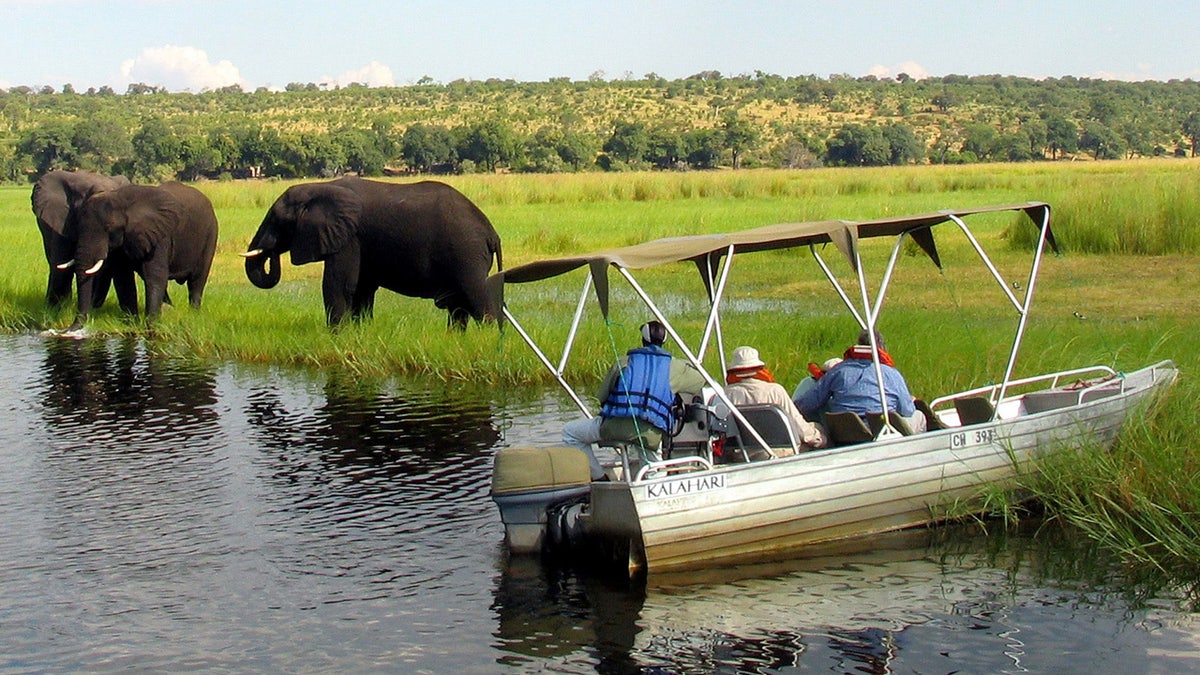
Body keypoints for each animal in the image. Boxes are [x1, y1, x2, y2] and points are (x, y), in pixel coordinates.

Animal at [65, 180, 220, 329]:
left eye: (109, 228)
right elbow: (123, 276)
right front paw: (132, 323)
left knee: (197, 280)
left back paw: (193, 313)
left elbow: (155, 274)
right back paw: (169, 309)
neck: (121, 200)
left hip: (211, 233)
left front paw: (150, 326)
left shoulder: (160, 234)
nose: (70, 330)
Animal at [241, 176, 504, 329]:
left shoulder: (349, 238)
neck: (317, 186)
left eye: (277, 220)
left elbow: (339, 285)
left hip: (467, 254)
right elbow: (362, 288)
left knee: (477, 298)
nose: (272, 251)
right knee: (458, 308)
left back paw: (488, 338)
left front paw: (336, 335)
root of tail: (492, 233)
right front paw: (360, 332)